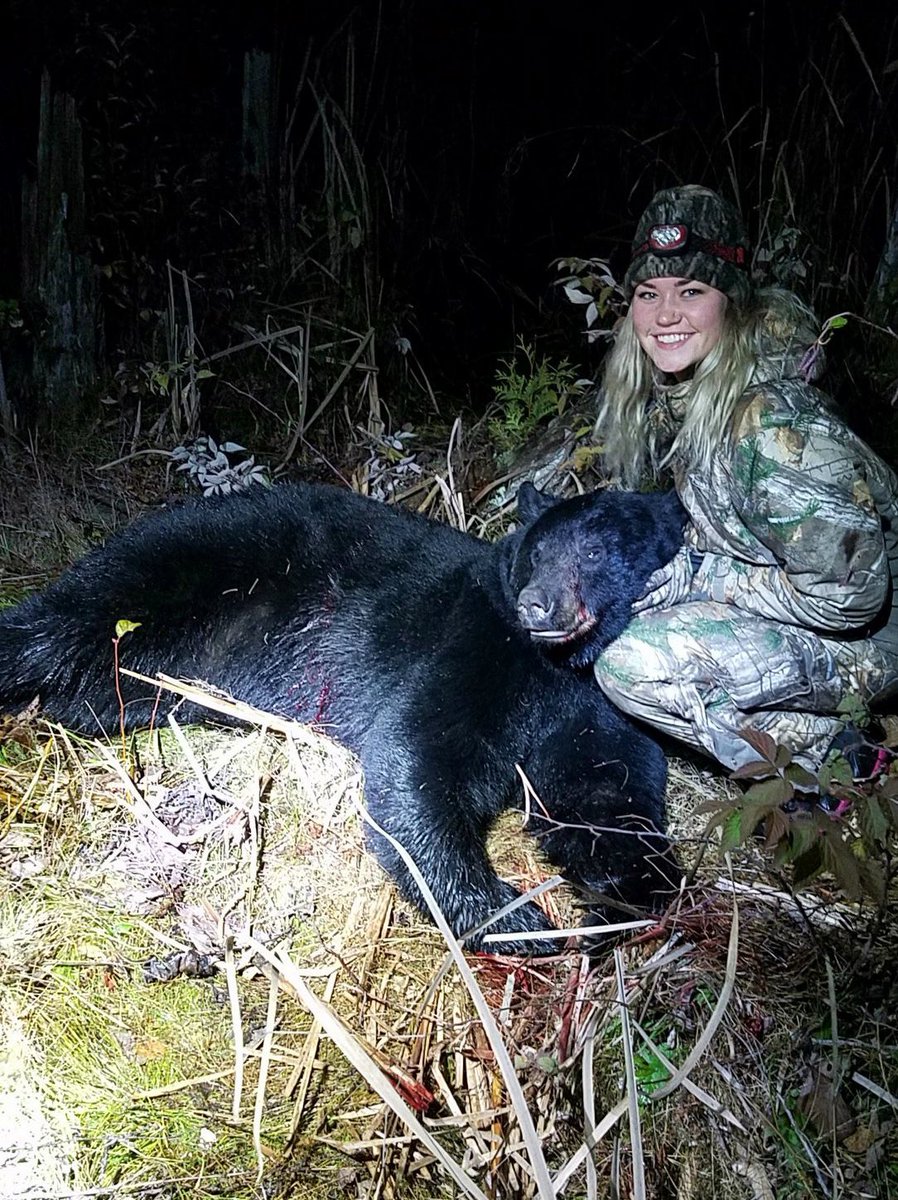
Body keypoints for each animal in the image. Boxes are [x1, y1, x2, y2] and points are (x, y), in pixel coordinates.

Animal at [0, 481, 686, 954]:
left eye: (594, 550)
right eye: (536, 553)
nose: (536, 606)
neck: (558, 666)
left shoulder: (594, 706)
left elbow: (606, 787)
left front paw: (620, 890)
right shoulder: (473, 642)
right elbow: (416, 754)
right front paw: (512, 918)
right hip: (174, 563)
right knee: (62, 619)